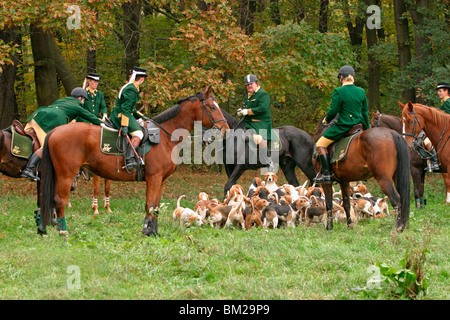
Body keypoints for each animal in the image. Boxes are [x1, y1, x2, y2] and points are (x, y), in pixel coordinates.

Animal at [38, 86, 229, 236]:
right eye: (212, 107)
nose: (225, 129)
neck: (165, 136)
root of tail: (55, 131)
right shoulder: (154, 178)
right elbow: (150, 205)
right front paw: (147, 230)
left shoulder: (160, 181)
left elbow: (155, 206)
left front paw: (154, 231)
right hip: (66, 175)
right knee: (59, 200)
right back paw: (63, 231)